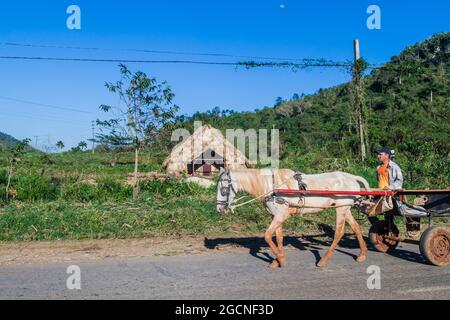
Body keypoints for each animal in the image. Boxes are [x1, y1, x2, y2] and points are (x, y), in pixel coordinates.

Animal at [216, 169, 370, 268]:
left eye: (223, 188)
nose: (219, 209)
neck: (273, 187)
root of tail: (352, 177)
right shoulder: (275, 215)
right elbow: (278, 237)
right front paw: (278, 259)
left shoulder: (282, 215)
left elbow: (267, 235)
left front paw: (280, 259)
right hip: (345, 208)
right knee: (355, 227)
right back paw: (362, 254)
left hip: (341, 209)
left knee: (339, 232)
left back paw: (323, 260)